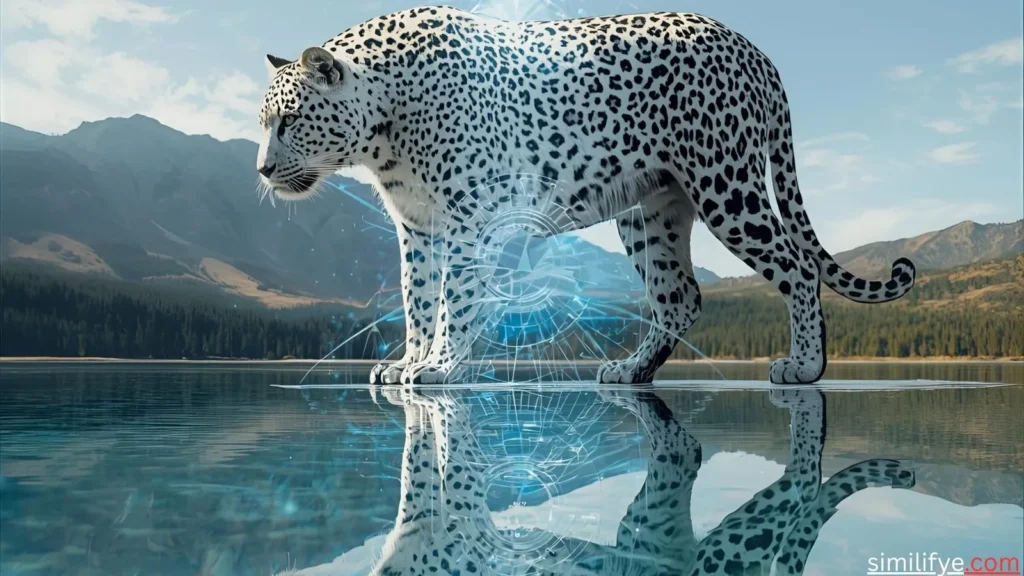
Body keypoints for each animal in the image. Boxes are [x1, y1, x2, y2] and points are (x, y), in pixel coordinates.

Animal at [255, 6, 917, 385]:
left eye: (290, 120)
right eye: (264, 122)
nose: (261, 169)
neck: (383, 130)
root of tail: (757, 52)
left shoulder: (469, 220)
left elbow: (454, 298)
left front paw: (440, 367)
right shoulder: (417, 227)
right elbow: (415, 297)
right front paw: (409, 363)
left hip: (727, 185)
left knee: (798, 267)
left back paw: (804, 367)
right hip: (650, 211)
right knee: (680, 297)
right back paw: (630, 372)